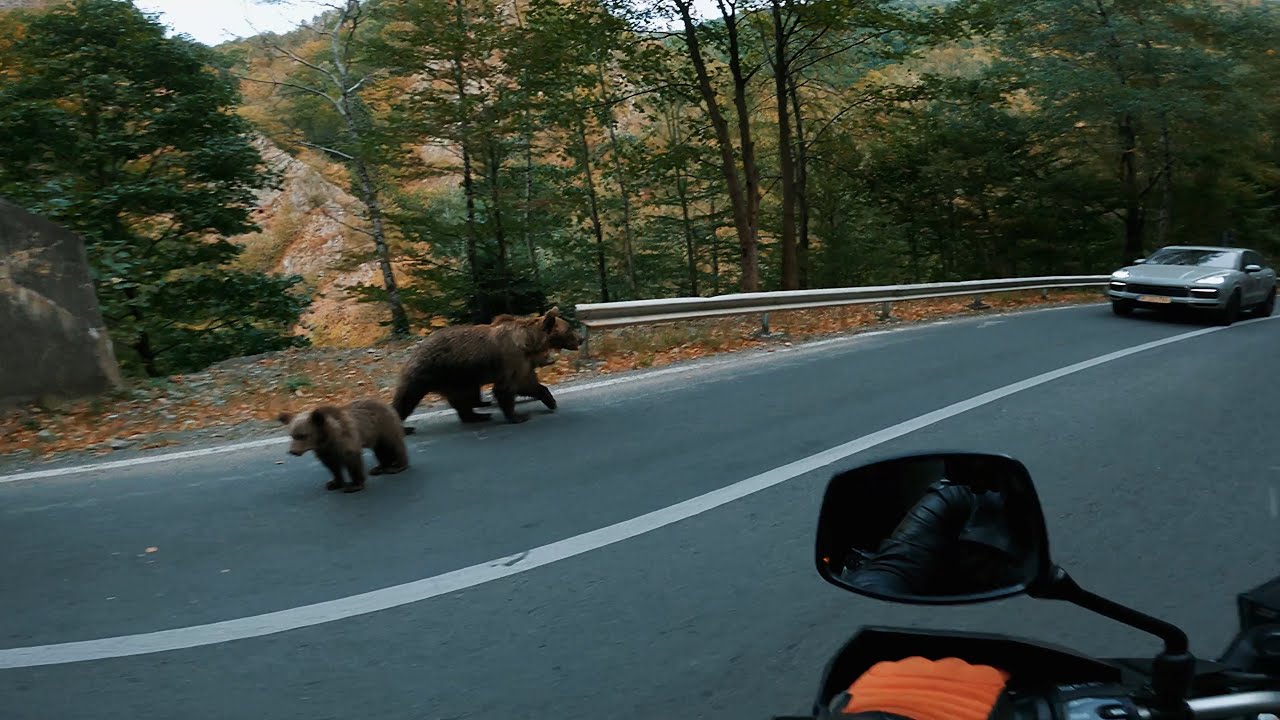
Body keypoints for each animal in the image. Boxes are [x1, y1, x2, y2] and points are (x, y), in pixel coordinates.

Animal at [277, 396, 409, 494]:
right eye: (292, 435)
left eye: (303, 435)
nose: (293, 451)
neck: (326, 438)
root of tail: (387, 404)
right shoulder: (324, 450)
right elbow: (331, 465)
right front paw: (334, 483)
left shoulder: (345, 440)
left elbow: (352, 460)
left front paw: (354, 485)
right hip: (377, 435)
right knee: (380, 450)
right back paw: (379, 467)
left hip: (385, 427)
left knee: (393, 445)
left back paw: (397, 466)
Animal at [392, 307, 572, 429]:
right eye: (569, 329)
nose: (579, 338)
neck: (528, 343)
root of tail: (417, 349)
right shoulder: (511, 357)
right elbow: (506, 388)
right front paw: (518, 416)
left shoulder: (522, 363)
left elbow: (527, 384)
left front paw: (550, 401)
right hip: (431, 370)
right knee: (407, 397)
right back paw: (405, 426)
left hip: (457, 377)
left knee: (462, 397)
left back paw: (478, 415)